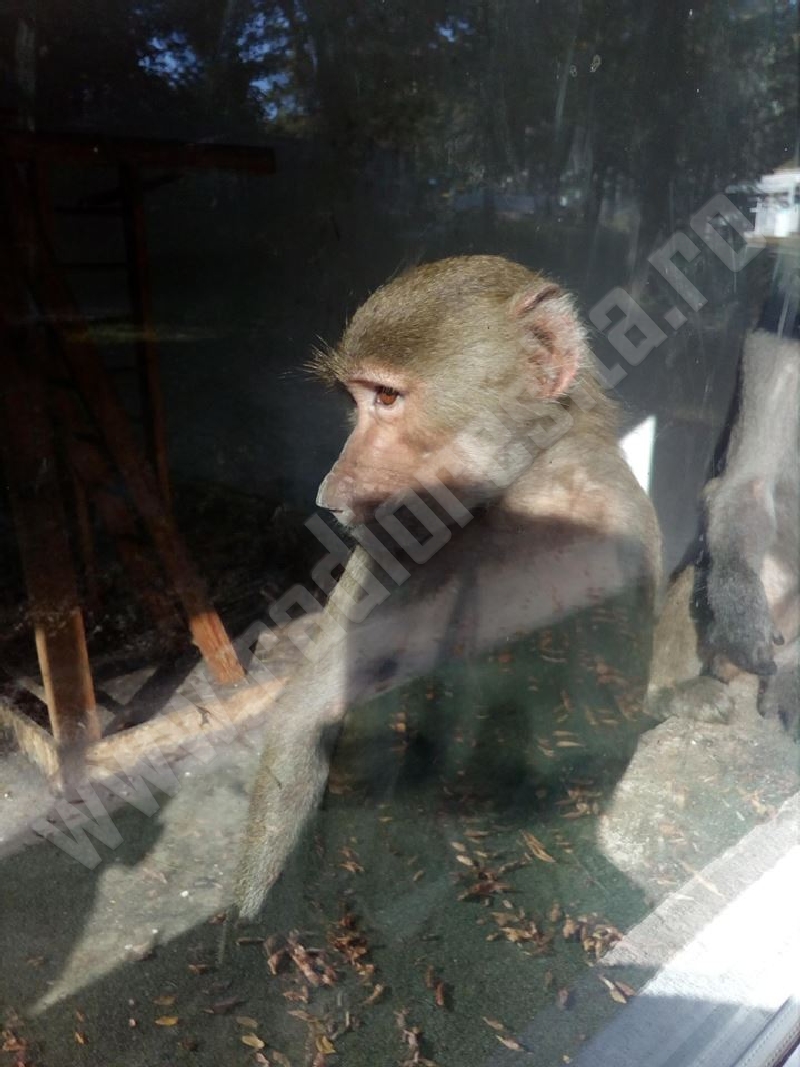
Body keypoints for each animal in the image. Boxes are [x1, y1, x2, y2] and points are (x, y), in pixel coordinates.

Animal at [233, 255, 662, 923]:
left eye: (387, 397)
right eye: (355, 401)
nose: (331, 493)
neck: (516, 497)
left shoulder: (614, 522)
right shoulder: (393, 548)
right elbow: (306, 716)